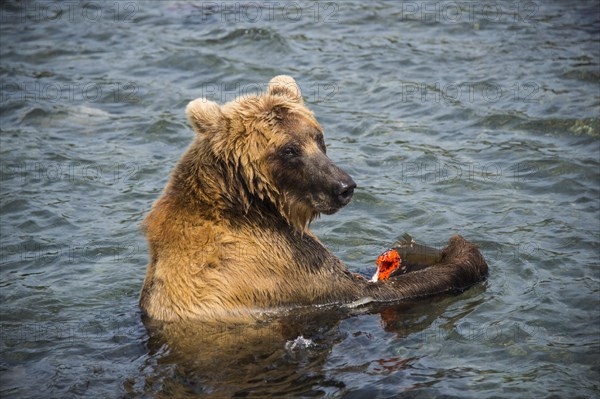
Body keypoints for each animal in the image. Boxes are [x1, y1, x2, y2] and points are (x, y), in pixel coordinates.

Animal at [139, 76, 488, 324]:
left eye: (318, 138)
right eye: (289, 150)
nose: (344, 186)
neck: (250, 205)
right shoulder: (278, 267)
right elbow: (368, 290)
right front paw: (462, 252)